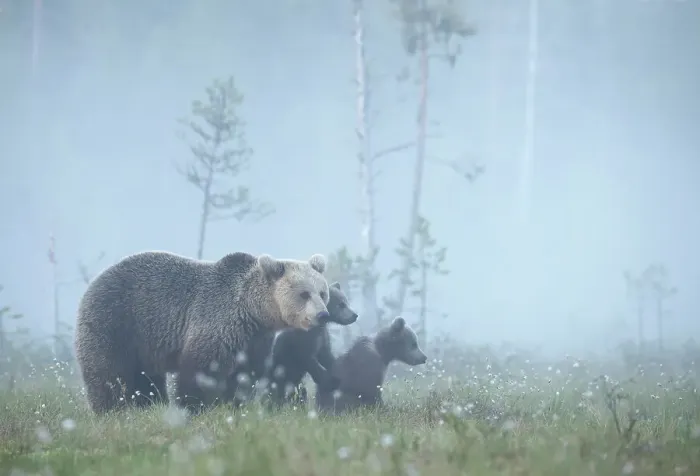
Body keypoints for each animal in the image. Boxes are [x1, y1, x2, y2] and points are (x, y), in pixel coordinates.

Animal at [73, 250, 330, 415]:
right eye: (304, 294)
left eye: (322, 292)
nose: (323, 315)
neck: (253, 312)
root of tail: (94, 282)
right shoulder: (219, 321)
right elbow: (201, 368)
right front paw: (194, 406)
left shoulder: (254, 339)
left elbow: (245, 374)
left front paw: (234, 404)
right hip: (115, 322)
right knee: (109, 373)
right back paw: (111, 410)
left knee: (145, 378)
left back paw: (148, 405)